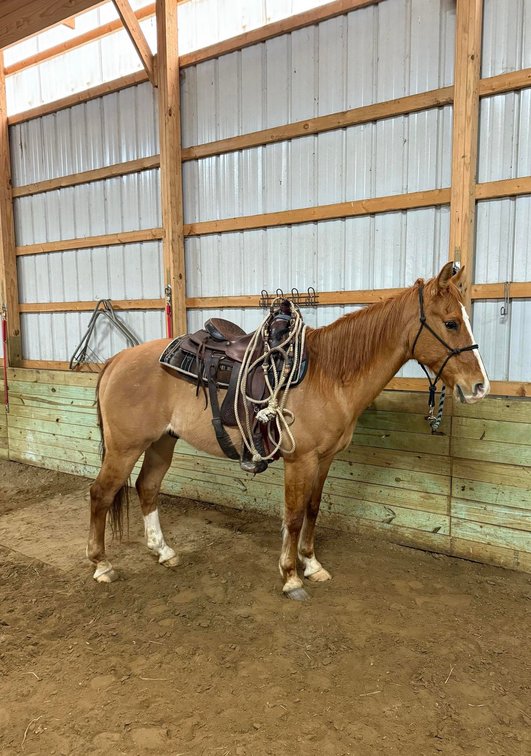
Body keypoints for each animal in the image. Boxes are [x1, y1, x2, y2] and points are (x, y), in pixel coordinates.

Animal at [87, 262, 489, 600]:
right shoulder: (300, 460)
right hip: (125, 447)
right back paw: (102, 565)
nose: (479, 386)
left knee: (147, 487)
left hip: (161, 442)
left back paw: (163, 551)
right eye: (451, 323)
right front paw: (291, 576)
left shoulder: (324, 460)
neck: (329, 376)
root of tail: (116, 360)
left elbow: (312, 509)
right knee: (101, 494)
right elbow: (294, 516)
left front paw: (311, 564)